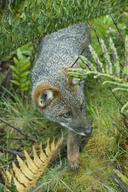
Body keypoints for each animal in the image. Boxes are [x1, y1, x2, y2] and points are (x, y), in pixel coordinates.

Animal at [32, 22, 92, 170]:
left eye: (81, 107)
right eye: (67, 115)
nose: (89, 131)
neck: (52, 66)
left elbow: (72, 135)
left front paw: (73, 156)